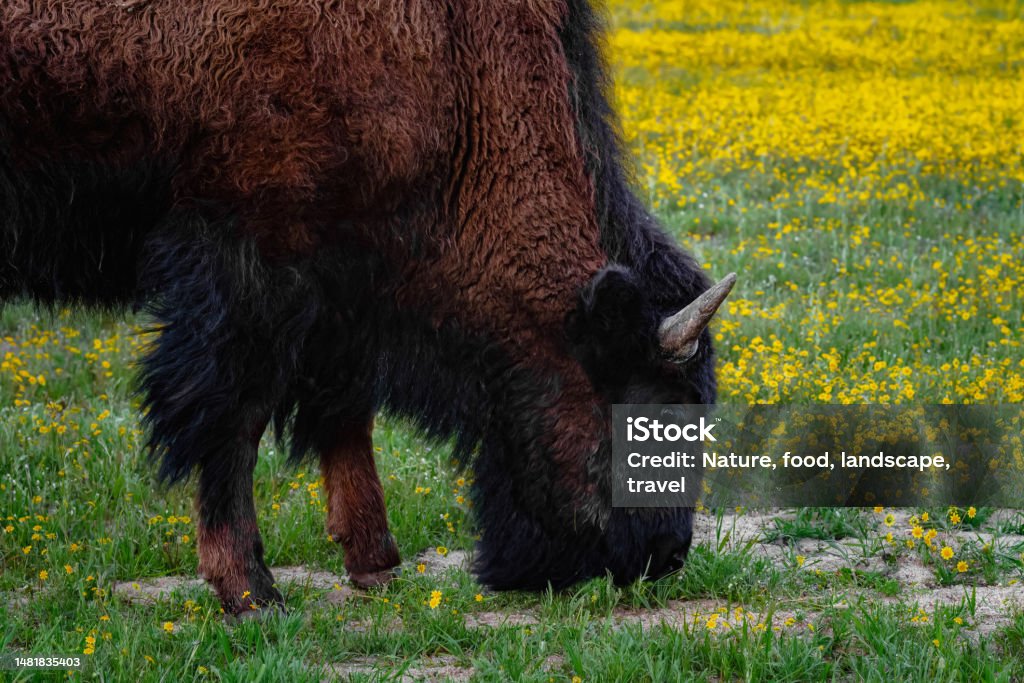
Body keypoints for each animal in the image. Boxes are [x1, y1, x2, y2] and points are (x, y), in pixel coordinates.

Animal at [0, 0, 734, 617]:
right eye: (644, 415)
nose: (664, 555)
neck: (452, 58)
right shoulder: (253, 262)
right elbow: (233, 416)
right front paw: (251, 591)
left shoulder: (342, 282)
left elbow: (344, 411)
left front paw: (375, 564)